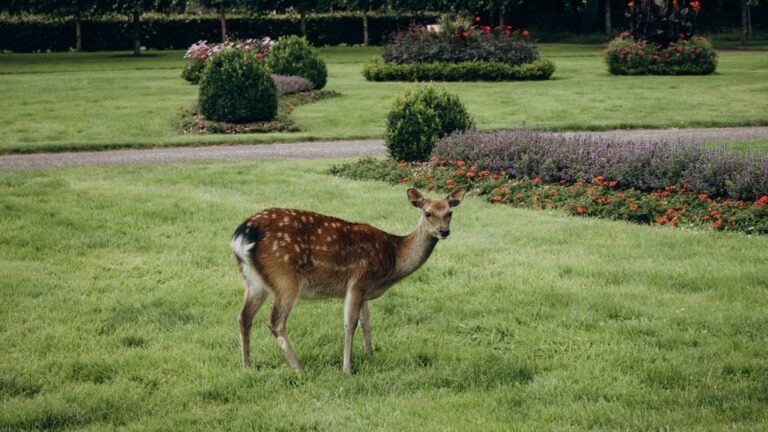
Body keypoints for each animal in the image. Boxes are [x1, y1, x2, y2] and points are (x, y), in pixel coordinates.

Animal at [230, 187, 466, 373]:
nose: (444, 231)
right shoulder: (357, 281)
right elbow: (350, 323)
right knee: (275, 322)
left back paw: (246, 366)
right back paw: (299, 370)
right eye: (428, 213)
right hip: (285, 279)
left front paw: (370, 355)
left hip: (253, 281)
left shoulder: (365, 289)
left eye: (450, 212)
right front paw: (347, 368)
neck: (393, 258)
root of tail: (242, 235)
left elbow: (366, 321)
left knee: (244, 317)